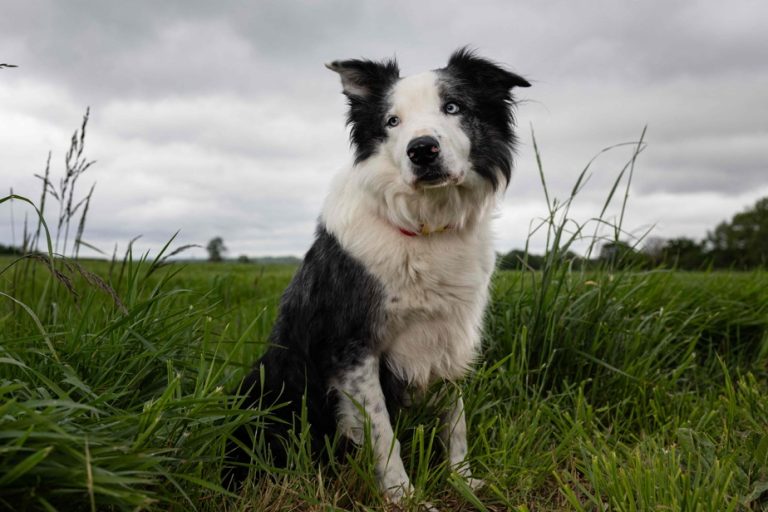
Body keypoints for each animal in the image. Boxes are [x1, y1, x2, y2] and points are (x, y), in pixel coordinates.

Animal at [225, 46, 532, 502]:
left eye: (453, 107)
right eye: (392, 121)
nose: (422, 150)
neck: (425, 227)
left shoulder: (450, 337)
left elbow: (455, 420)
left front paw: (463, 479)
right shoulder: (352, 347)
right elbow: (384, 433)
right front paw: (404, 496)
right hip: (261, 388)